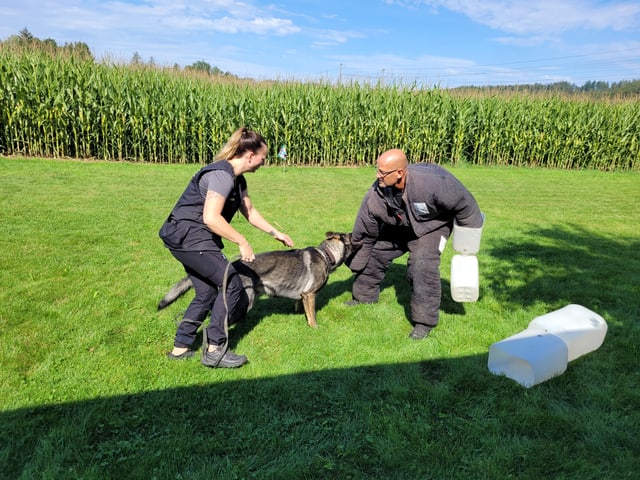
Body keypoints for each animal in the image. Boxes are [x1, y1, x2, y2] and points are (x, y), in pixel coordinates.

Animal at [157, 232, 352, 328]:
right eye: (351, 236)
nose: (358, 236)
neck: (327, 254)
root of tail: (231, 266)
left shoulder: (303, 296)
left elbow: (300, 306)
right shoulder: (310, 295)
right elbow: (312, 317)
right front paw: (315, 328)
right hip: (243, 302)